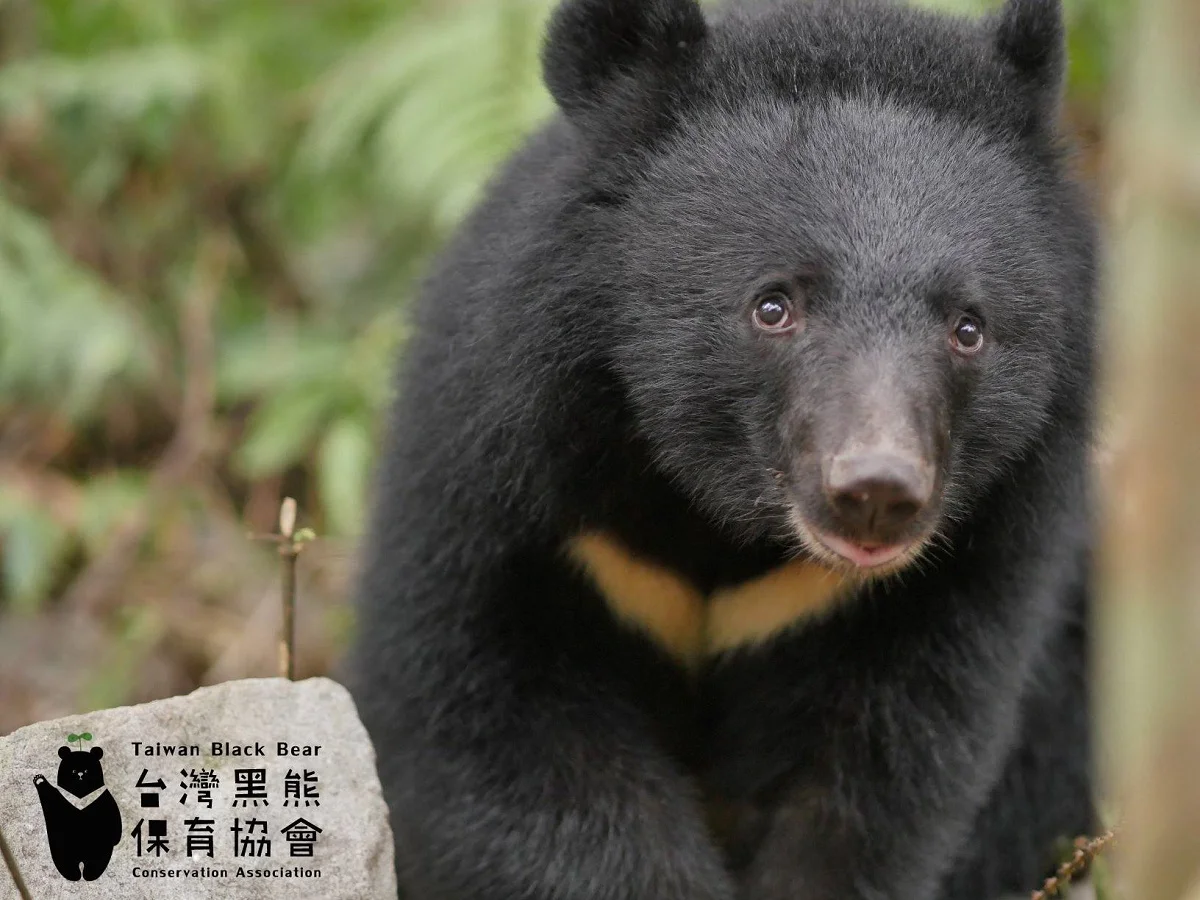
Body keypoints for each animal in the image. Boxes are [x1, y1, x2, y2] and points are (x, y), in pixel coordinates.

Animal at [34, 746, 123, 881]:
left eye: (86, 770)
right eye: (73, 770)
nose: (80, 774)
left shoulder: (105, 800)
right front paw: (39, 780)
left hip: (98, 849)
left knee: (97, 862)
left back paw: (89, 875)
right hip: (64, 850)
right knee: (66, 862)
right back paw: (74, 875)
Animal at [347, 0, 1097, 898]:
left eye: (969, 328)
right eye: (773, 306)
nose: (877, 491)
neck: (717, 517)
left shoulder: (966, 562)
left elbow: (878, 779)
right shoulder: (502, 483)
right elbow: (493, 728)